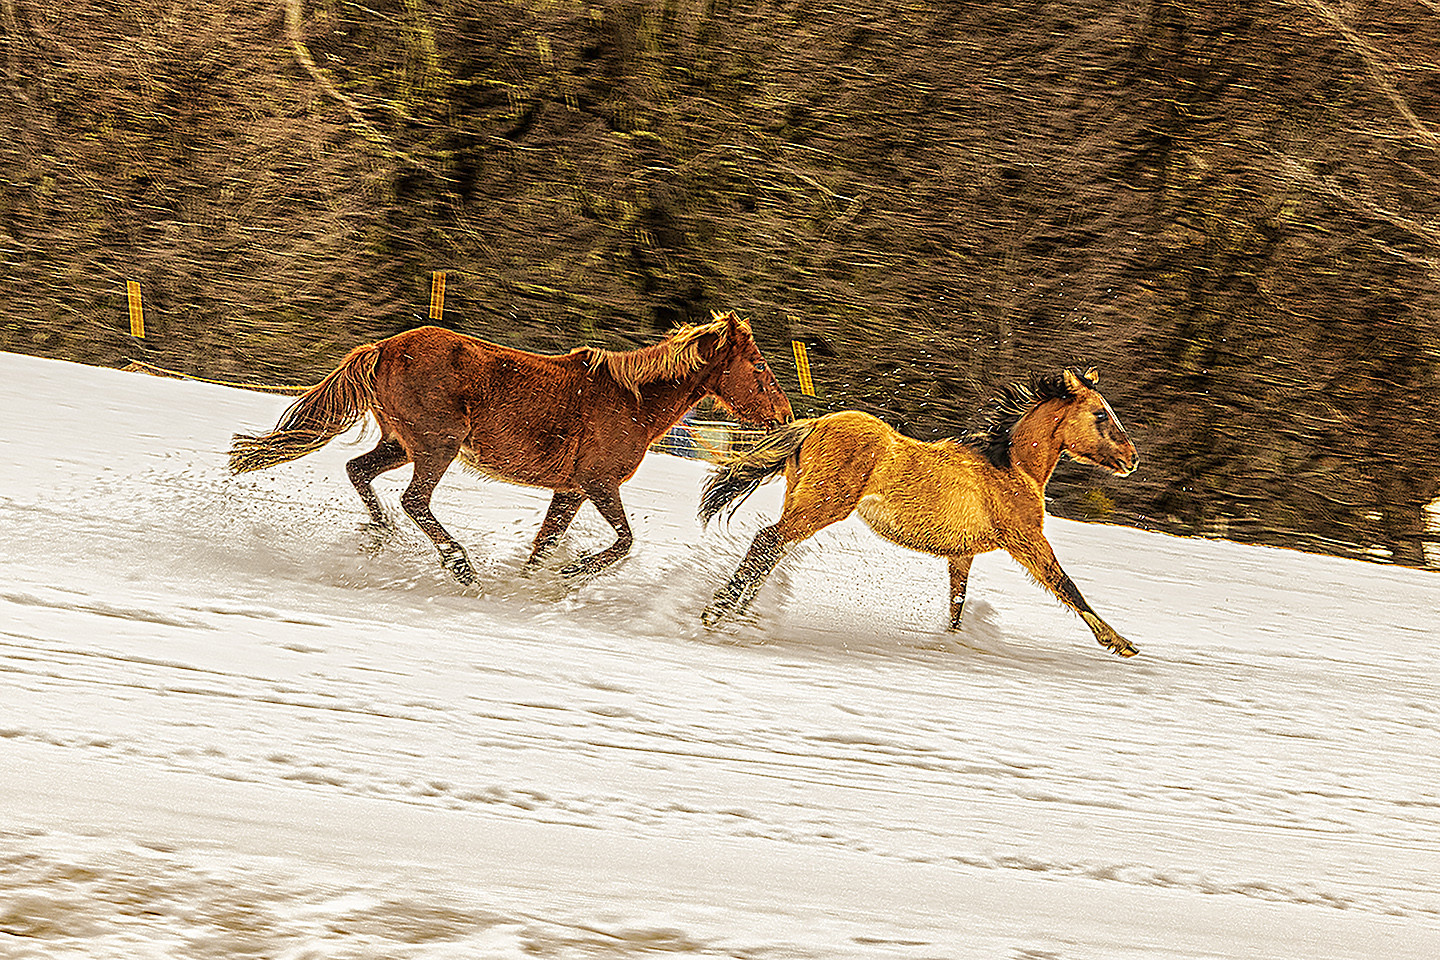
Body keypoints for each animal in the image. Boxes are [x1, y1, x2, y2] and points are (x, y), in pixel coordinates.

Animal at [237, 313, 800, 587]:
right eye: (759, 367)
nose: (784, 417)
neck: (634, 399)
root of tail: (384, 349)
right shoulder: (598, 484)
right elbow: (623, 542)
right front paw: (574, 572)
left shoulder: (571, 492)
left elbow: (543, 546)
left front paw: (535, 582)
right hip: (437, 447)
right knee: (414, 501)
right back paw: (460, 567)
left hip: (401, 444)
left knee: (360, 472)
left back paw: (380, 538)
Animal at [691, 364, 1140, 656]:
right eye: (1101, 414)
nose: (1132, 459)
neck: (1012, 466)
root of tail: (816, 424)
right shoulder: (1026, 540)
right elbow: (1067, 586)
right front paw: (1120, 643)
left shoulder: (962, 555)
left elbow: (957, 604)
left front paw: (950, 642)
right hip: (821, 506)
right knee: (767, 541)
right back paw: (716, 612)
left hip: (801, 502)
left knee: (770, 552)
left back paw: (737, 611)